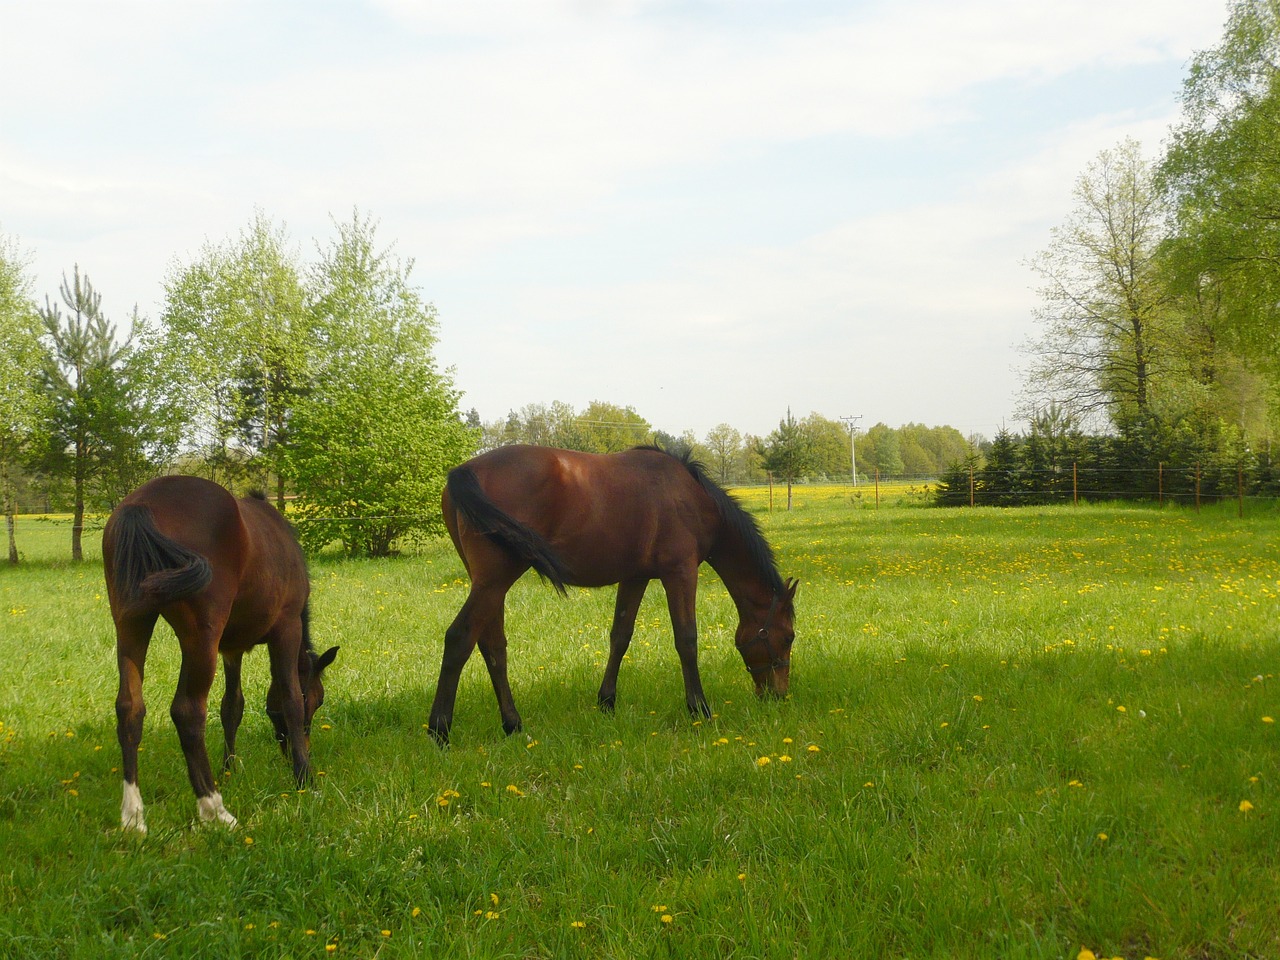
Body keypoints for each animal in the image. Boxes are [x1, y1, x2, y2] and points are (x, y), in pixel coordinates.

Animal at [102, 478, 337, 834]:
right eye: (318, 699)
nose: (297, 751)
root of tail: (141, 505)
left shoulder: (231, 648)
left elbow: (232, 707)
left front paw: (230, 770)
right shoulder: (286, 627)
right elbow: (290, 699)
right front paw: (304, 778)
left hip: (131, 623)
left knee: (130, 708)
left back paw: (133, 816)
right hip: (201, 637)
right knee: (187, 712)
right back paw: (214, 808)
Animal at [424, 442, 793, 742]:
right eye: (788, 636)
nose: (779, 696)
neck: (690, 497)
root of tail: (465, 471)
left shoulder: (635, 578)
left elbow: (621, 636)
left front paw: (606, 702)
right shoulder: (681, 573)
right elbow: (687, 640)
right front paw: (699, 709)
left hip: (489, 585)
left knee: (492, 647)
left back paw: (513, 725)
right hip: (494, 581)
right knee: (459, 638)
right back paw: (440, 730)